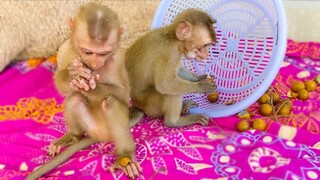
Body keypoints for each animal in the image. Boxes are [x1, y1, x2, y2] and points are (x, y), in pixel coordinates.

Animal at [26, 3, 142, 180]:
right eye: (87, 52)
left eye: (103, 53)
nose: (94, 63)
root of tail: (99, 135)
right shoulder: (70, 50)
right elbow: (60, 81)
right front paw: (73, 74)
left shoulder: (118, 59)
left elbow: (123, 93)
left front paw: (94, 87)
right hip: (88, 125)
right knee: (74, 98)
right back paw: (72, 136)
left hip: (110, 128)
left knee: (112, 102)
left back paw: (125, 156)